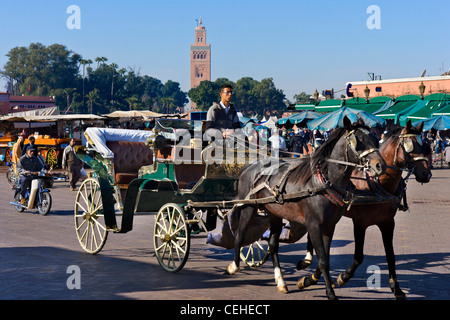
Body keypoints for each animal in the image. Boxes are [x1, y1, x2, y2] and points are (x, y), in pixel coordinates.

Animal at [227, 117, 384, 300]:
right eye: (358, 141)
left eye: (375, 140)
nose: (380, 165)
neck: (322, 182)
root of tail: (248, 167)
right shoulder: (314, 224)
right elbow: (322, 260)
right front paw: (330, 292)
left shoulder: (329, 226)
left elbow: (325, 258)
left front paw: (312, 279)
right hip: (249, 208)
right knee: (239, 236)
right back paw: (234, 266)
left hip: (274, 214)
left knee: (273, 245)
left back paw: (281, 281)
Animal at [298, 119, 430, 298]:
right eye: (411, 145)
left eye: (424, 145)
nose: (426, 174)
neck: (378, 184)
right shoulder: (360, 223)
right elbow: (358, 256)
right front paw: (343, 277)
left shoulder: (387, 223)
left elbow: (391, 256)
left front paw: (396, 288)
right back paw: (307, 263)